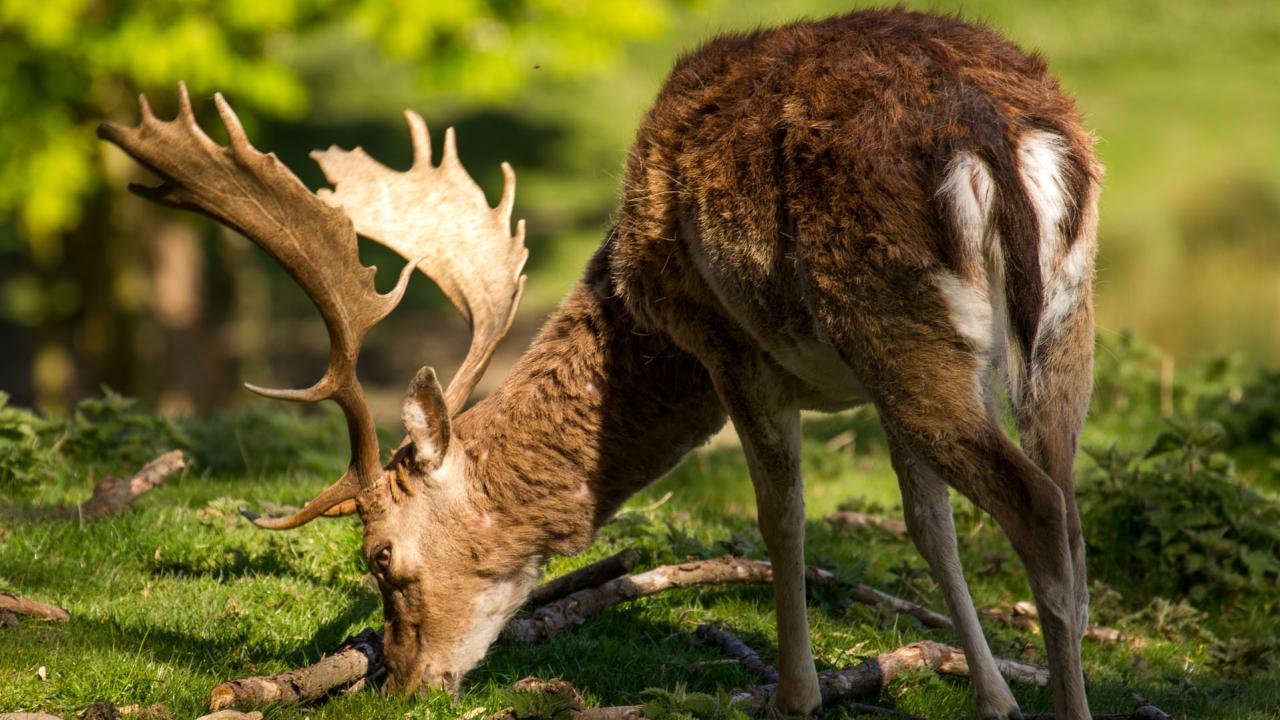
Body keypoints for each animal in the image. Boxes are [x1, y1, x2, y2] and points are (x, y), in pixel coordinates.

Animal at [99, 9, 1101, 720]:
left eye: (380, 557)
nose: (402, 683)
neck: (636, 303)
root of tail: (998, 133)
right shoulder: (864, 388)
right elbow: (928, 526)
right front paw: (993, 700)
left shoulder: (729, 346)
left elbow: (782, 520)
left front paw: (794, 696)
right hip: (1048, 326)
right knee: (1066, 501)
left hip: (895, 318)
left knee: (1039, 508)